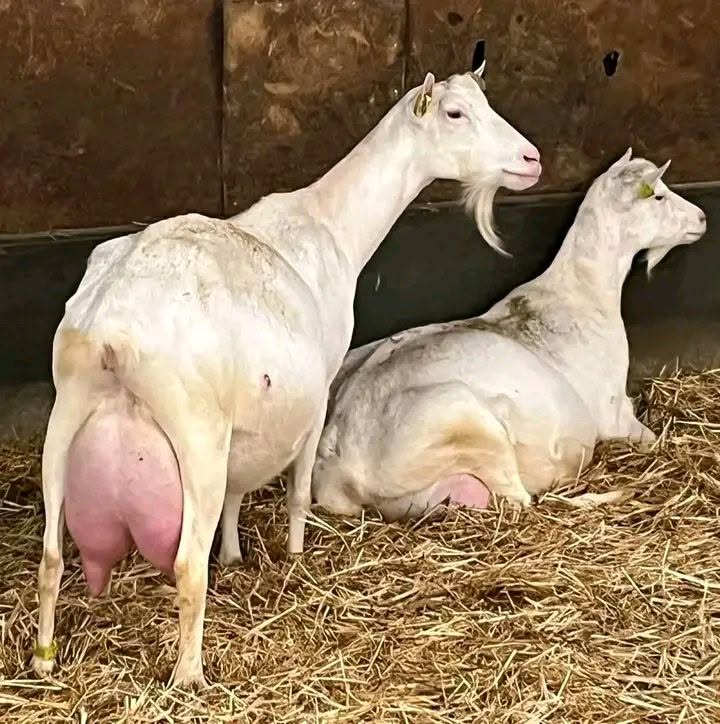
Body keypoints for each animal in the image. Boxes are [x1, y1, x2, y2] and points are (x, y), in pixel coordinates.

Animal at [33, 67, 542, 687]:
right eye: (454, 114)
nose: (531, 159)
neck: (330, 225)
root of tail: (112, 330)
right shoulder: (319, 388)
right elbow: (298, 491)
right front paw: (297, 555)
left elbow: (237, 491)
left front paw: (234, 555)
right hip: (195, 432)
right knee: (186, 563)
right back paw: (189, 675)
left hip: (67, 412)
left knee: (52, 555)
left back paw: (43, 658)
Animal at [312, 149, 707, 521]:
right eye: (658, 195)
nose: (702, 218)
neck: (581, 292)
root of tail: (339, 458)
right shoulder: (614, 413)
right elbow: (650, 438)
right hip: (467, 424)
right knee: (524, 502)